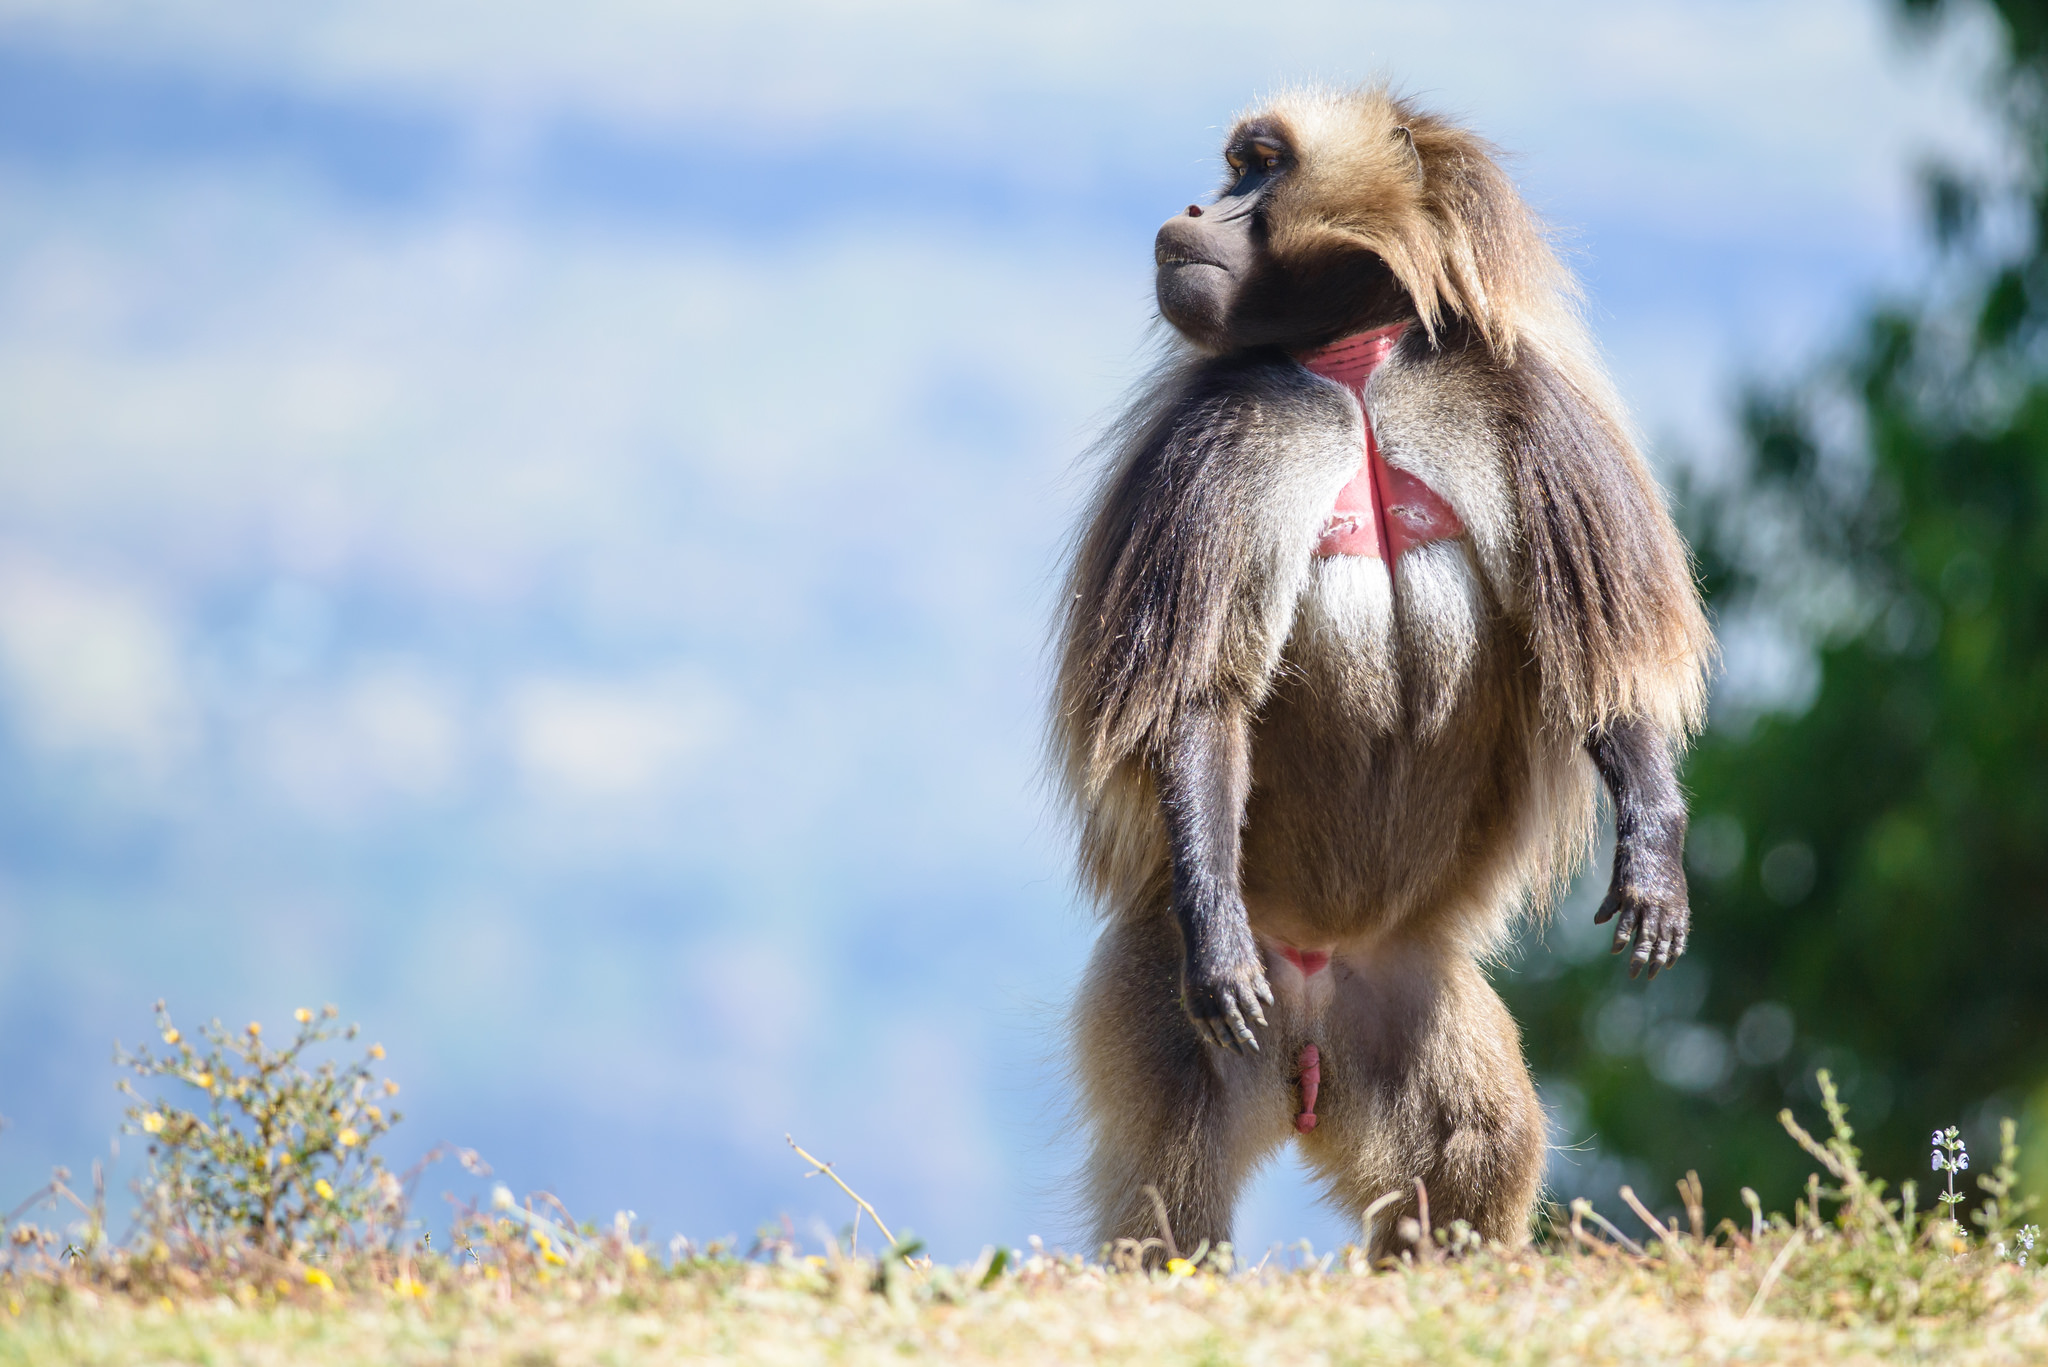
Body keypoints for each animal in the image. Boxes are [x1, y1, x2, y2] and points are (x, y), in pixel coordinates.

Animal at [1052, 88, 1713, 1260]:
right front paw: (1217, 934)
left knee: (1474, 1152)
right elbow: (1200, 700)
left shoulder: (1521, 410)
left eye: (1255, 167)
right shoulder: (1213, 449)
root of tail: (1311, 1016)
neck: (1351, 372)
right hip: (1161, 996)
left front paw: (1652, 857)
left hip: (1404, 1010)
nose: (1193, 209)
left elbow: (1596, 669)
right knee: (1169, 1185)